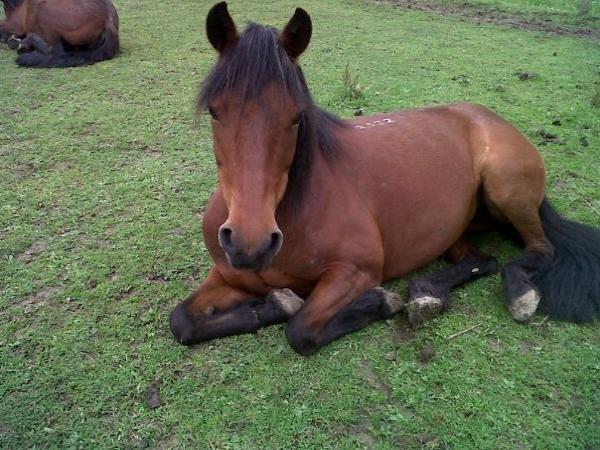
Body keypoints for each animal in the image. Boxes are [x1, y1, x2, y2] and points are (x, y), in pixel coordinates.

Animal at [169, 2, 600, 356]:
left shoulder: (355, 271)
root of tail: (490, 118)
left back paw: (518, 293)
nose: (250, 244)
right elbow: (181, 322)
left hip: (506, 188)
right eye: (215, 111)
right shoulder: (226, 274)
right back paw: (427, 293)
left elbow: (302, 329)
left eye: (295, 116)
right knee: (482, 260)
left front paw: (378, 302)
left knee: (539, 250)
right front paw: (273, 303)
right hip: (455, 227)